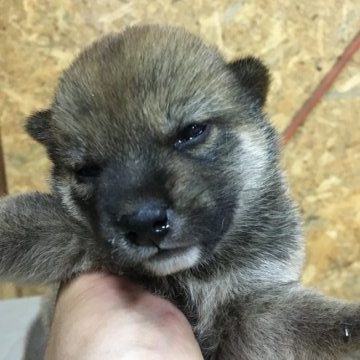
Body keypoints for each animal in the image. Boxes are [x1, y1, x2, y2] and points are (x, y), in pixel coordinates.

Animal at [0, 23, 360, 358]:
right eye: (87, 170)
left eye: (192, 132)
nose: (145, 223)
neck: (191, 276)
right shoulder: (69, 232)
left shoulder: (252, 307)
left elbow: (317, 325)